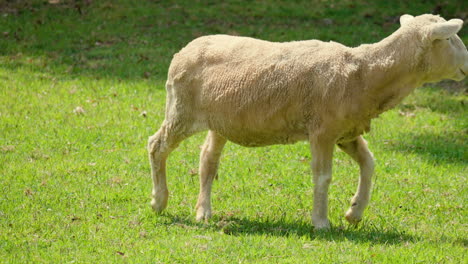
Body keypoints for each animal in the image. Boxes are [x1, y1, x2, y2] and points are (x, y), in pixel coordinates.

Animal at [147, 14, 468, 229]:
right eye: (449, 38)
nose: (467, 64)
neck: (365, 72)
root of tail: (184, 50)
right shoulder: (323, 131)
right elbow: (323, 176)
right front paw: (321, 222)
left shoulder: (346, 131)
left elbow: (369, 163)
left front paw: (354, 212)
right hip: (181, 111)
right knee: (156, 146)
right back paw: (159, 202)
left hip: (221, 122)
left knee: (207, 160)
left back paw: (204, 212)